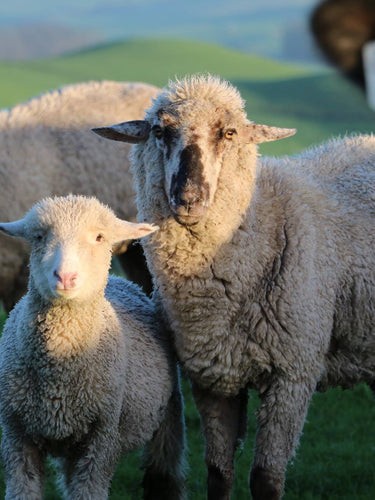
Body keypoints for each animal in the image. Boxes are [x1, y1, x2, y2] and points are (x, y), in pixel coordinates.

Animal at [0, 194, 187, 500]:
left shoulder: (102, 438)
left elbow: (90, 490)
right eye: (39, 236)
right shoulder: (16, 435)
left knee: (165, 474)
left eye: (99, 237)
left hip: (169, 412)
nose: (65, 276)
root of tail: (121, 281)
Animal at [92, 74, 374, 500]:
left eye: (228, 132)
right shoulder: (212, 376)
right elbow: (218, 474)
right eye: (159, 131)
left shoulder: (293, 374)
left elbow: (265, 480)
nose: (188, 198)